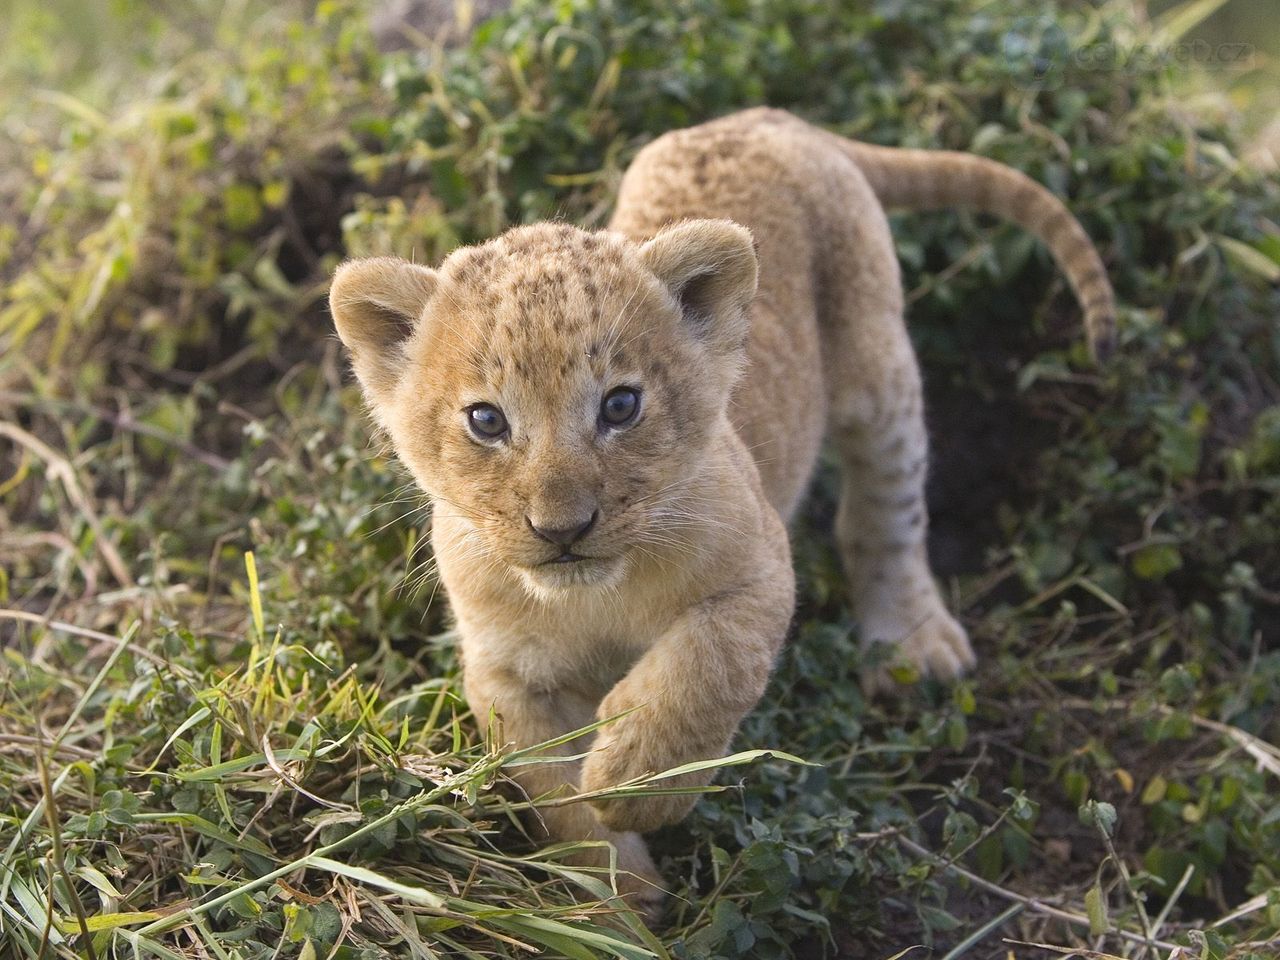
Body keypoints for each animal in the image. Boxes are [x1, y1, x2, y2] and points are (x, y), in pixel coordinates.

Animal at [329, 107, 1114, 920]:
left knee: (887, 512)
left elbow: (703, 668)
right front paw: (620, 903)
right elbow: (555, 801)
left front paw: (634, 782)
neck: (591, 600)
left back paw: (913, 643)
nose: (562, 529)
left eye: (620, 406)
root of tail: (768, 118)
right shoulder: (506, 676)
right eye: (486, 421)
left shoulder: (759, 570)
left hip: (877, 371)